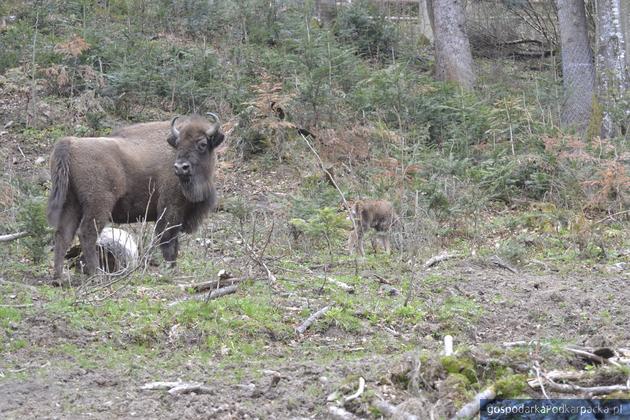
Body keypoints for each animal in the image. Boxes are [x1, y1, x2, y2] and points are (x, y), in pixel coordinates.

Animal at [47, 114, 225, 278]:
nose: (181, 167)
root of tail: (70, 143)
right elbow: (168, 240)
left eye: (202, 144)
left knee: (63, 234)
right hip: (98, 205)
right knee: (86, 234)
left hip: (71, 203)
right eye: (178, 144)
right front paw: (171, 270)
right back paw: (97, 274)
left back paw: (59, 277)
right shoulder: (171, 208)